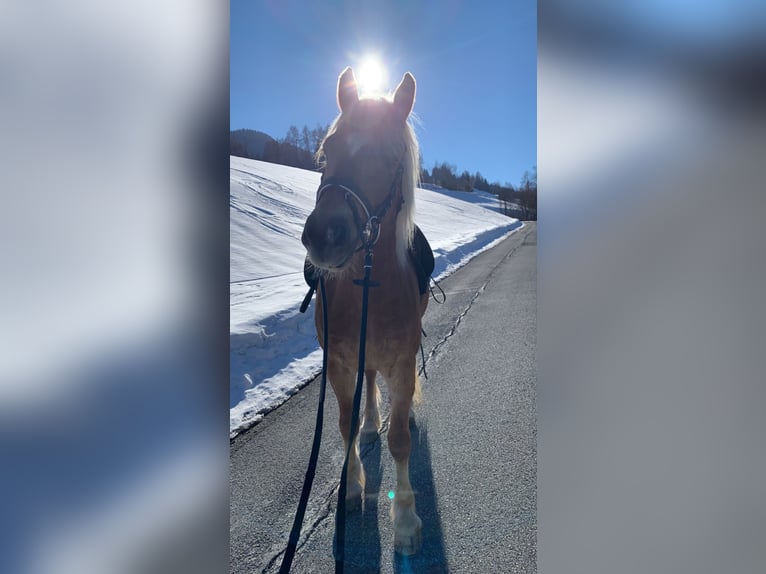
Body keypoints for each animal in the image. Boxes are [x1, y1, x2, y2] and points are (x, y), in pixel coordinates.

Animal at [301, 67, 427, 556]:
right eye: (328, 150)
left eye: (391, 158)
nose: (324, 234)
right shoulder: (338, 364)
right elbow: (344, 424)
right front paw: (352, 489)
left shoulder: (403, 363)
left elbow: (399, 441)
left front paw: (406, 521)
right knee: (367, 386)